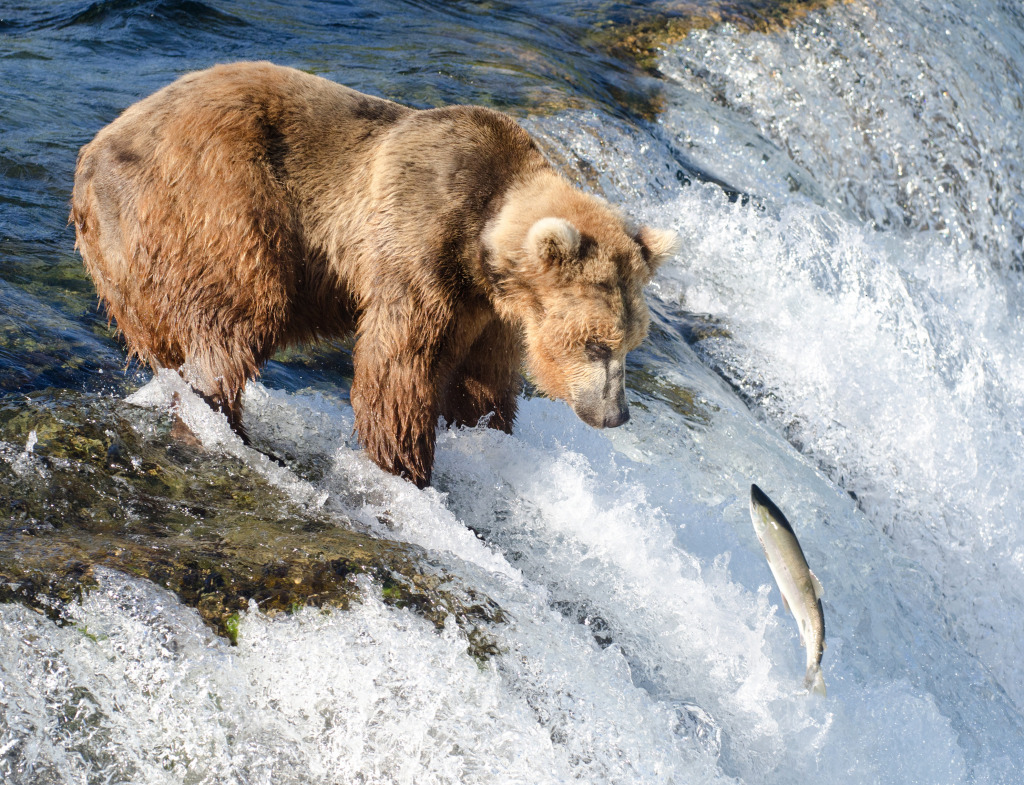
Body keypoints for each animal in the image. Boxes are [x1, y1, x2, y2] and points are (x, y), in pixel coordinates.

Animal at [74, 61, 679, 487]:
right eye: (596, 344)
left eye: (632, 342)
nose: (616, 414)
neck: (481, 243)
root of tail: (92, 154)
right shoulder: (418, 244)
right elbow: (398, 367)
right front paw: (405, 466)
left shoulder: (488, 311)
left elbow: (482, 382)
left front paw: (485, 433)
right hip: (215, 195)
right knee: (241, 309)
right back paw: (222, 420)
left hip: (125, 260)